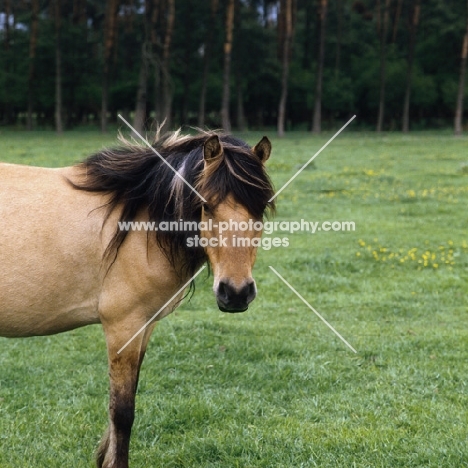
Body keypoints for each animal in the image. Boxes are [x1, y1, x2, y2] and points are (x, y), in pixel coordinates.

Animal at [0, 131, 274, 468]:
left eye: (261, 208)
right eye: (206, 206)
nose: (235, 293)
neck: (138, 223)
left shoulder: (144, 327)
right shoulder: (123, 327)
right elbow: (122, 412)